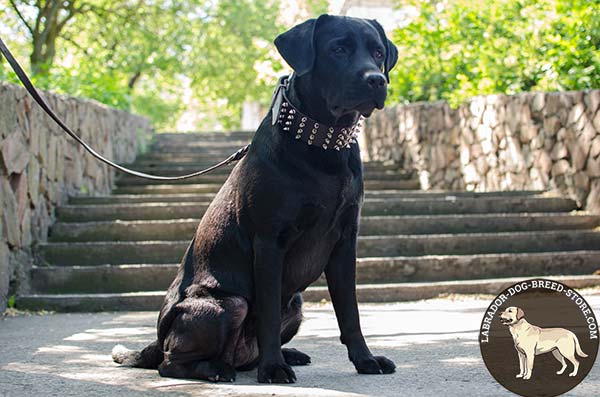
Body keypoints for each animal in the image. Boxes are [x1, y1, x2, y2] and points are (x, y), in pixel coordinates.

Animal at [112, 13, 398, 382]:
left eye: (378, 53)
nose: (376, 80)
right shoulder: (269, 242)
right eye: (338, 49)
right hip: (227, 304)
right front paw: (273, 368)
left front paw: (365, 359)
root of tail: (156, 340)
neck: (323, 143)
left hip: (296, 303)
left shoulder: (346, 242)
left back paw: (283, 355)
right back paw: (219, 368)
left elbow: (350, 312)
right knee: (170, 363)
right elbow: (269, 315)